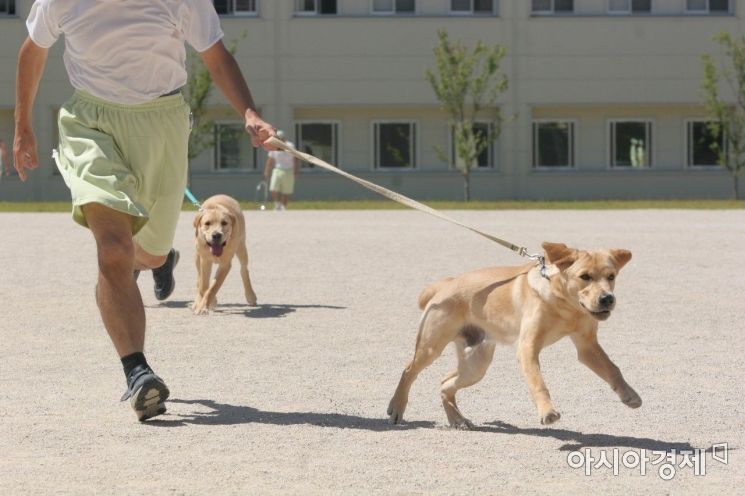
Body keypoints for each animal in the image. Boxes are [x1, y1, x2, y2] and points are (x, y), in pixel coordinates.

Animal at [390, 242, 640, 428]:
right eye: (585, 276)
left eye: (611, 276)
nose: (607, 299)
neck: (566, 307)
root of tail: (446, 284)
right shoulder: (527, 347)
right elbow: (538, 381)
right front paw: (548, 411)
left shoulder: (587, 346)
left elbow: (613, 369)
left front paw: (629, 395)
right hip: (431, 346)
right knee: (408, 370)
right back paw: (396, 407)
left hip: (476, 365)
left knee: (444, 383)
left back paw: (457, 419)